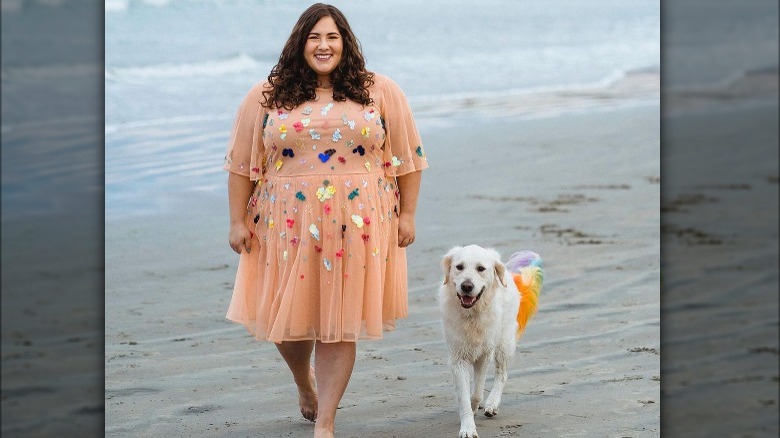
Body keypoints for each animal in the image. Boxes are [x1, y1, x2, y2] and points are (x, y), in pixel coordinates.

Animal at [438, 246, 544, 438]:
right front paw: (468, 427)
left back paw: (492, 404)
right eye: (459, 267)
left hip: (504, 344)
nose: (466, 286)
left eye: (481, 268)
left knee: (502, 374)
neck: (472, 315)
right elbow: (464, 397)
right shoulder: (458, 358)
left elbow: (477, 392)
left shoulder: (484, 354)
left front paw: (476, 407)